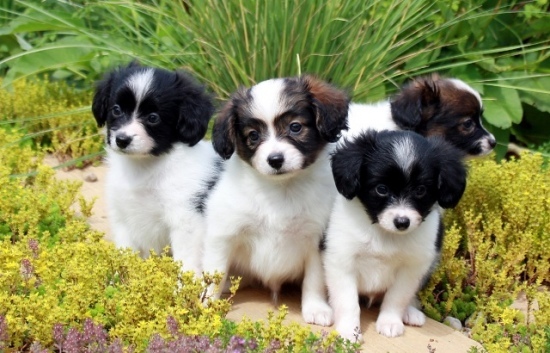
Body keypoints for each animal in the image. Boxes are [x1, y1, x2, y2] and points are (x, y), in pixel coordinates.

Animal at [91, 62, 221, 274]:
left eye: (153, 118)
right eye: (116, 110)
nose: (122, 140)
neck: (144, 167)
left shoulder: (186, 220)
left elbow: (186, 262)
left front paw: (186, 283)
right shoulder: (123, 218)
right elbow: (124, 255)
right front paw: (118, 279)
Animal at [202, 74, 350, 324]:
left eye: (295, 127)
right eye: (253, 135)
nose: (275, 160)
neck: (281, 190)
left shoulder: (317, 238)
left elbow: (315, 279)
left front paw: (315, 308)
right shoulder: (223, 235)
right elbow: (215, 274)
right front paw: (205, 306)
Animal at [326, 130, 468, 340]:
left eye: (420, 190)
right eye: (381, 189)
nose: (402, 222)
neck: (385, 234)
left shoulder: (411, 268)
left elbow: (397, 297)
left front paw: (390, 322)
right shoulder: (342, 261)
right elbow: (348, 301)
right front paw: (349, 332)